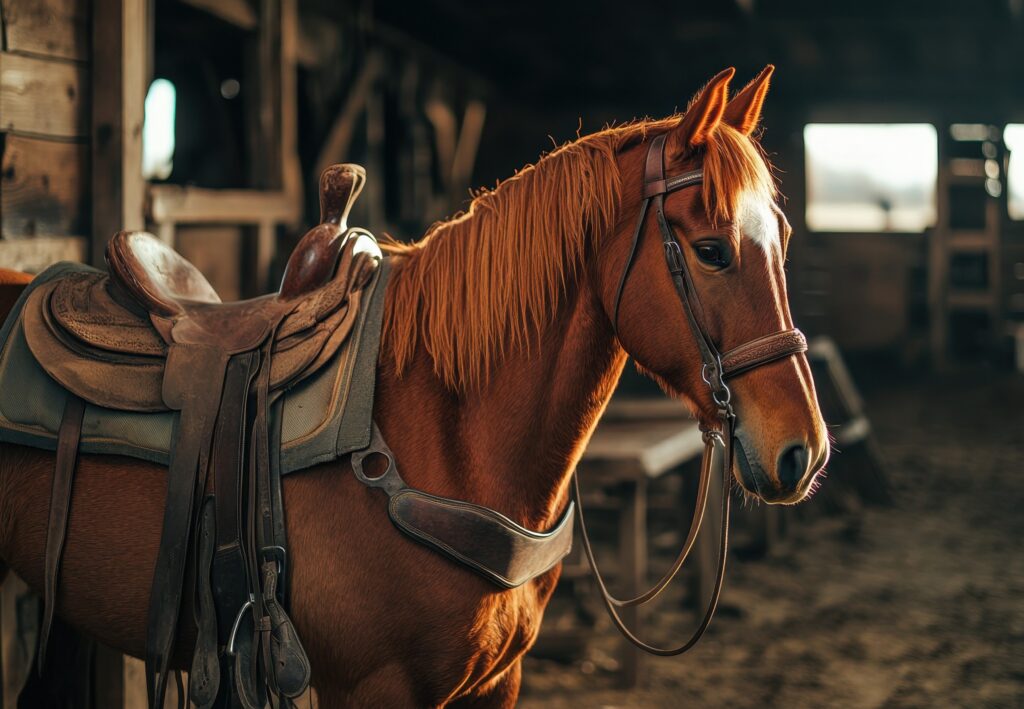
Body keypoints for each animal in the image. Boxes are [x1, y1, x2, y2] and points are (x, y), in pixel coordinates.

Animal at [0, 66, 827, 707]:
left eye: (784, 238)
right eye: (713, 249)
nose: (804, 453)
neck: (443, 432)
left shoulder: (495, 682)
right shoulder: (377, 687)